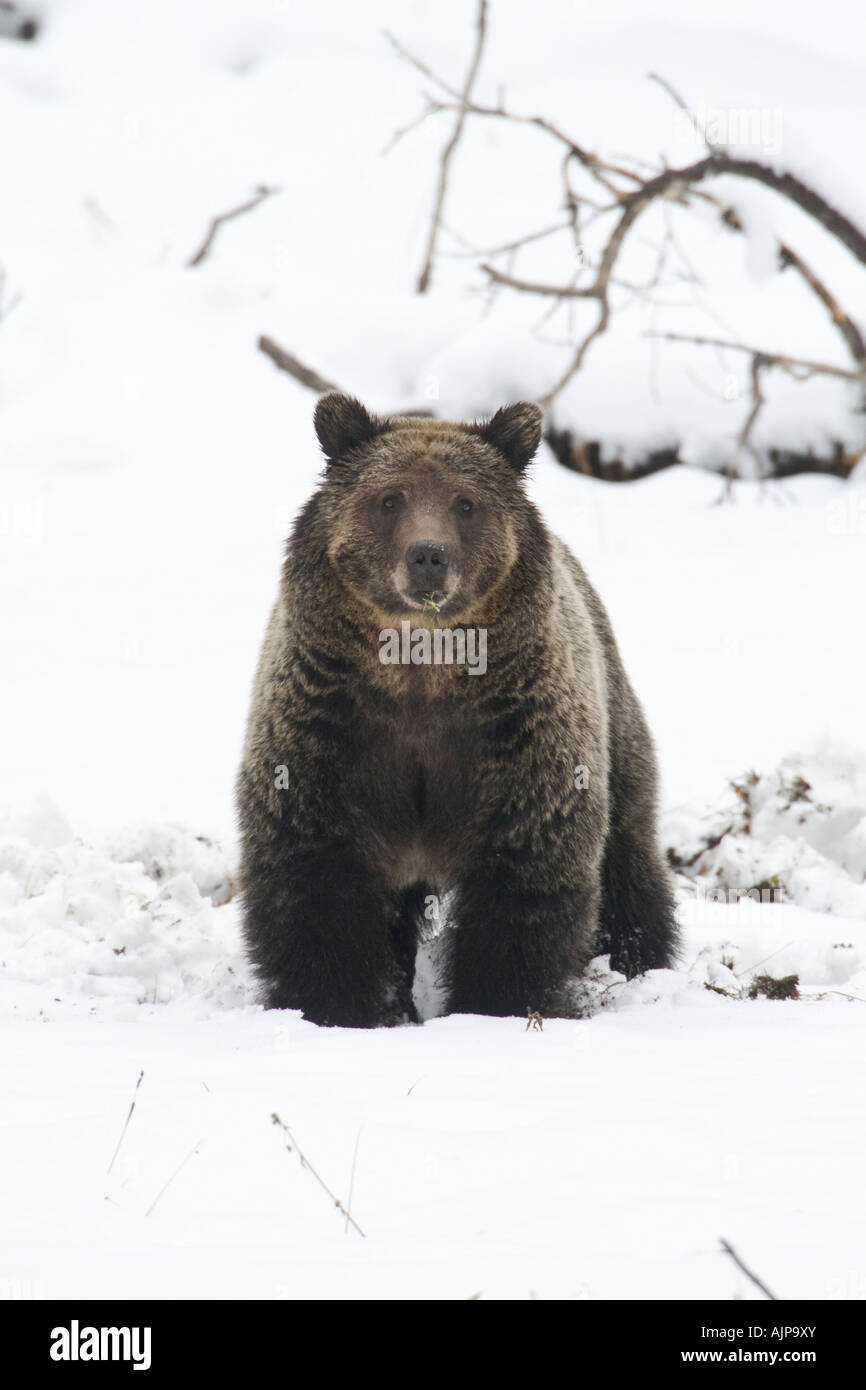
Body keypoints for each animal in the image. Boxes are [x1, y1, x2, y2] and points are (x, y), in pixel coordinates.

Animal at [234, 391, 678, 1023]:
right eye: (389, 499)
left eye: (465, 503)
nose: (428, 555)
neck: (421, 675)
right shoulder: (328, 729)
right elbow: (314, 877)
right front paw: (330, 1003)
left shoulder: (516, 734)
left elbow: (524, 876)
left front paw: (500, 1001)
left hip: (615, 721)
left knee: (628, 855)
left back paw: (638, 958)